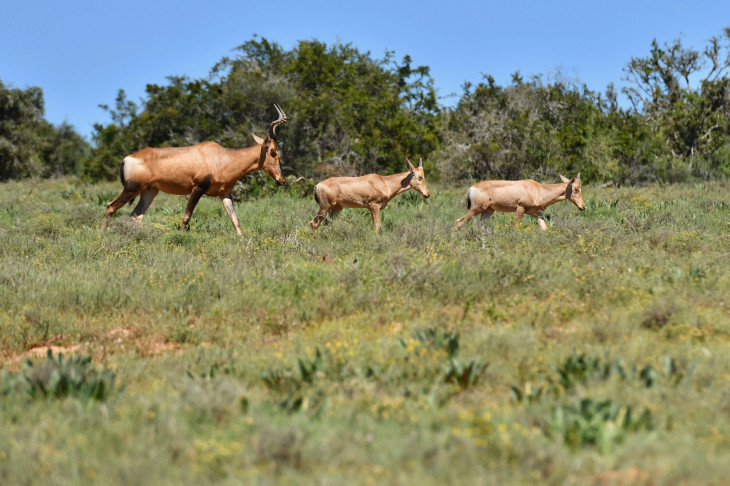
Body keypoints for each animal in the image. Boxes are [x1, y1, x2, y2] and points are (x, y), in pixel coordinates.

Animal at [100, 104, 288, 237]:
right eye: (273, 151)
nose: (282, 180)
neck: (222, 157)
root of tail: (128, 158)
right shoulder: (197, 188)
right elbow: (186, 216)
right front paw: (181, 238)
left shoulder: (225, 194)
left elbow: (235, 219)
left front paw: (242, 241)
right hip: (132, 188)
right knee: (110, 207)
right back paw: (101, 235)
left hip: (149, 191)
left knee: (136, 215)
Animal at [452, 173, 584, 232]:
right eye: (576, 189)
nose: (583, 207)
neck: (538, 189)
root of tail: (471, 188)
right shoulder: (520, 208)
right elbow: (516, 226)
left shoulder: (537, 215)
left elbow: (545, 229)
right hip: (476, 209)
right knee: (459, 221)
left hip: (488, 211)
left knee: (481, 226)